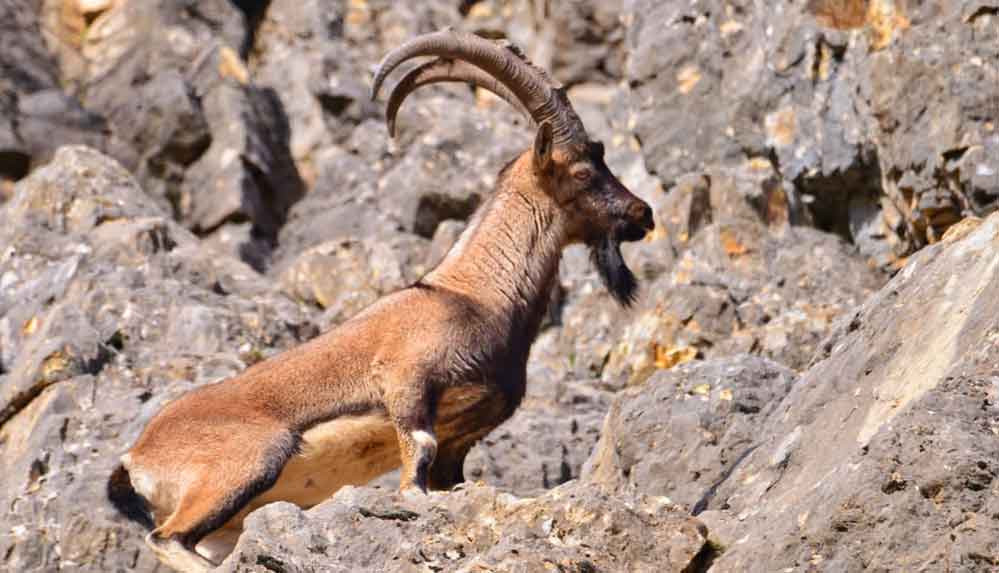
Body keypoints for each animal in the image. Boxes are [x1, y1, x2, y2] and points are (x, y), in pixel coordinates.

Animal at [107, 31, 656, 572]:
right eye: (583, 171)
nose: (643, 214)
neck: (475, 295)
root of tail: (136, 459)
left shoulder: (460, 441)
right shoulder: (406, 382)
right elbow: (416, 465)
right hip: (248, 462)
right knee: (167, 537)